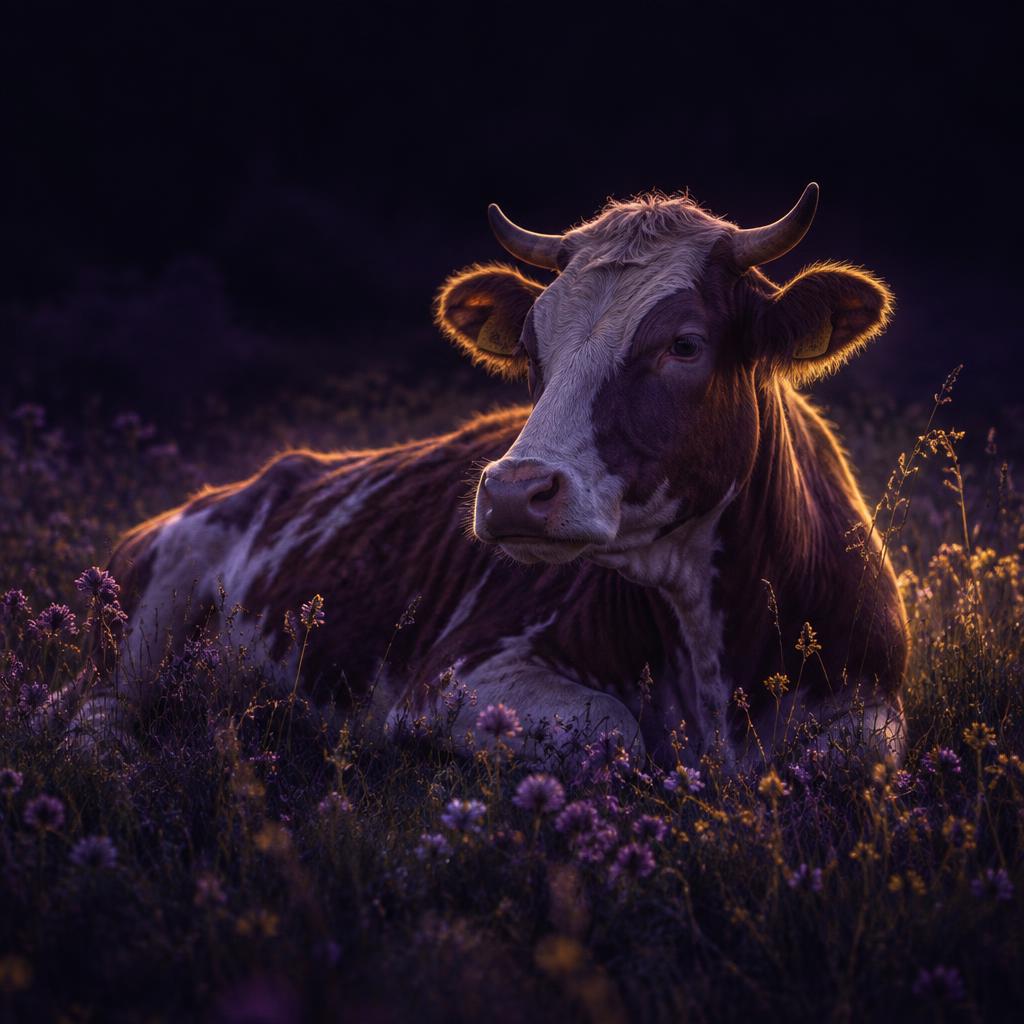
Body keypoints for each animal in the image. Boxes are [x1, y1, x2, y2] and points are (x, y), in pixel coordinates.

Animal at [96, 182, 907, 770]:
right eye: (529, 344)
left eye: (684, 344)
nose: (516, 492)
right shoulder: (451, 678)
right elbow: (614, 731)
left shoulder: (872, 704)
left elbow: (850, 753)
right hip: (140, 622)